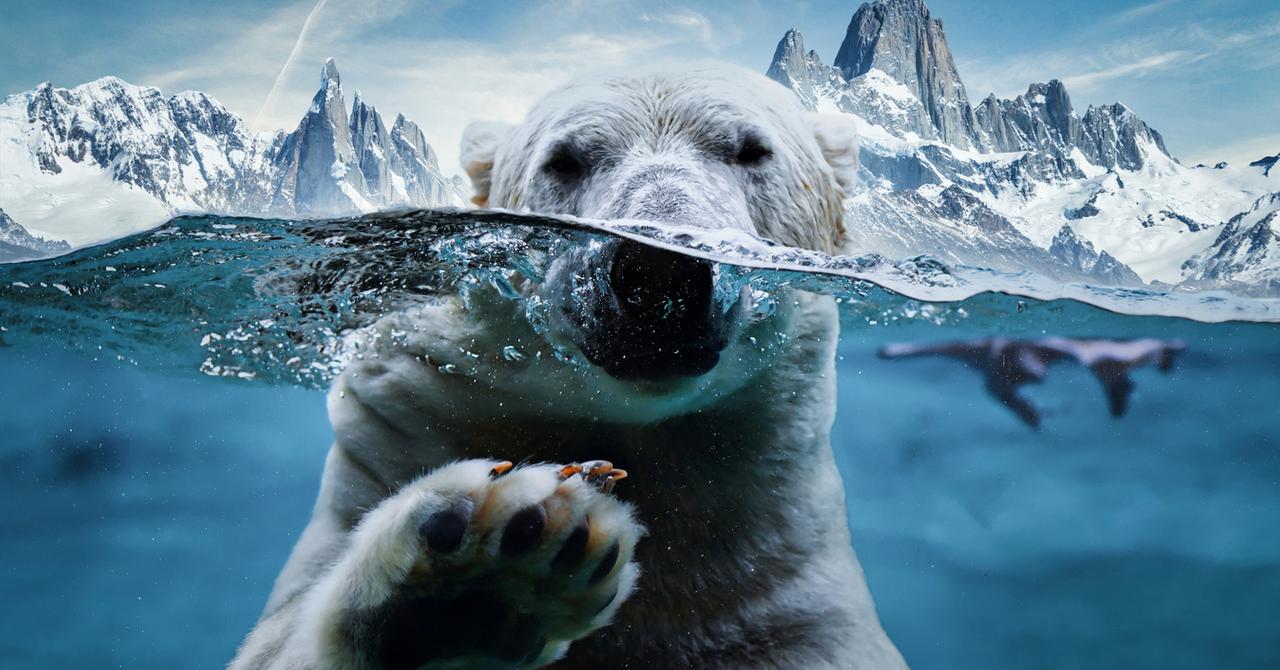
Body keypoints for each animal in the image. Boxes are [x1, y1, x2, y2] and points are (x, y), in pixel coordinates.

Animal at [231, 66, 907, 670]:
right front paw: (483, 574)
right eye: (563, 161)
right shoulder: (406, 424)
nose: (660, 270)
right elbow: (276, 641)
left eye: (751, 150)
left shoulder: (781, 591)